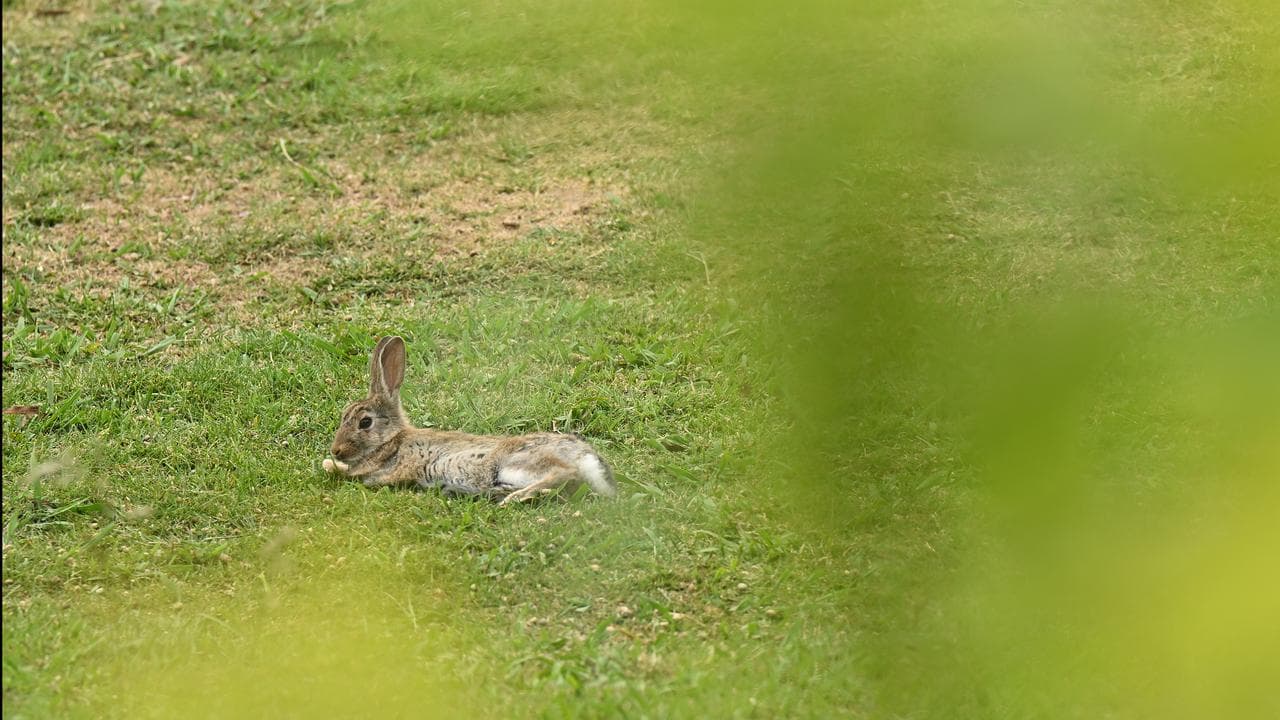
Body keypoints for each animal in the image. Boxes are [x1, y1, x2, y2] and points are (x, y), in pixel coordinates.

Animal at [322, 336, 617, 505]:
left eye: (365, 423)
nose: (335, 450)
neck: (391, 440)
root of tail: (586, 456)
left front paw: (330, 465)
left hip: (516, 463)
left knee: (565, 474)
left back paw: (514, 498)